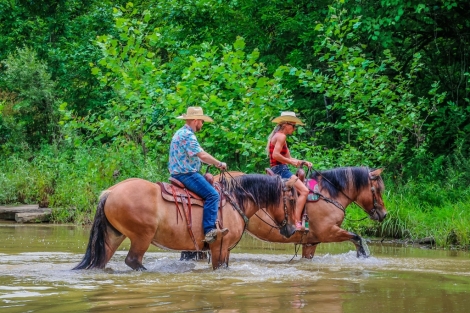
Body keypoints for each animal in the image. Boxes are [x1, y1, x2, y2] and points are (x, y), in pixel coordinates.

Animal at [72, 174, 298, 270]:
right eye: (292, 200)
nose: (291, 230)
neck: (234, 200)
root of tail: (110, 192)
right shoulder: (218, 246)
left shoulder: (225, 250)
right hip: (141, 237)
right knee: (133, 261)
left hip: (114, 236)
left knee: (100, 261)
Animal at [244, 166, 388, 256]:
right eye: (377, 189)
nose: (384, 213)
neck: (329, 196)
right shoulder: (328, 232)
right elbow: (357, 238)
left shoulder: (310, 243)